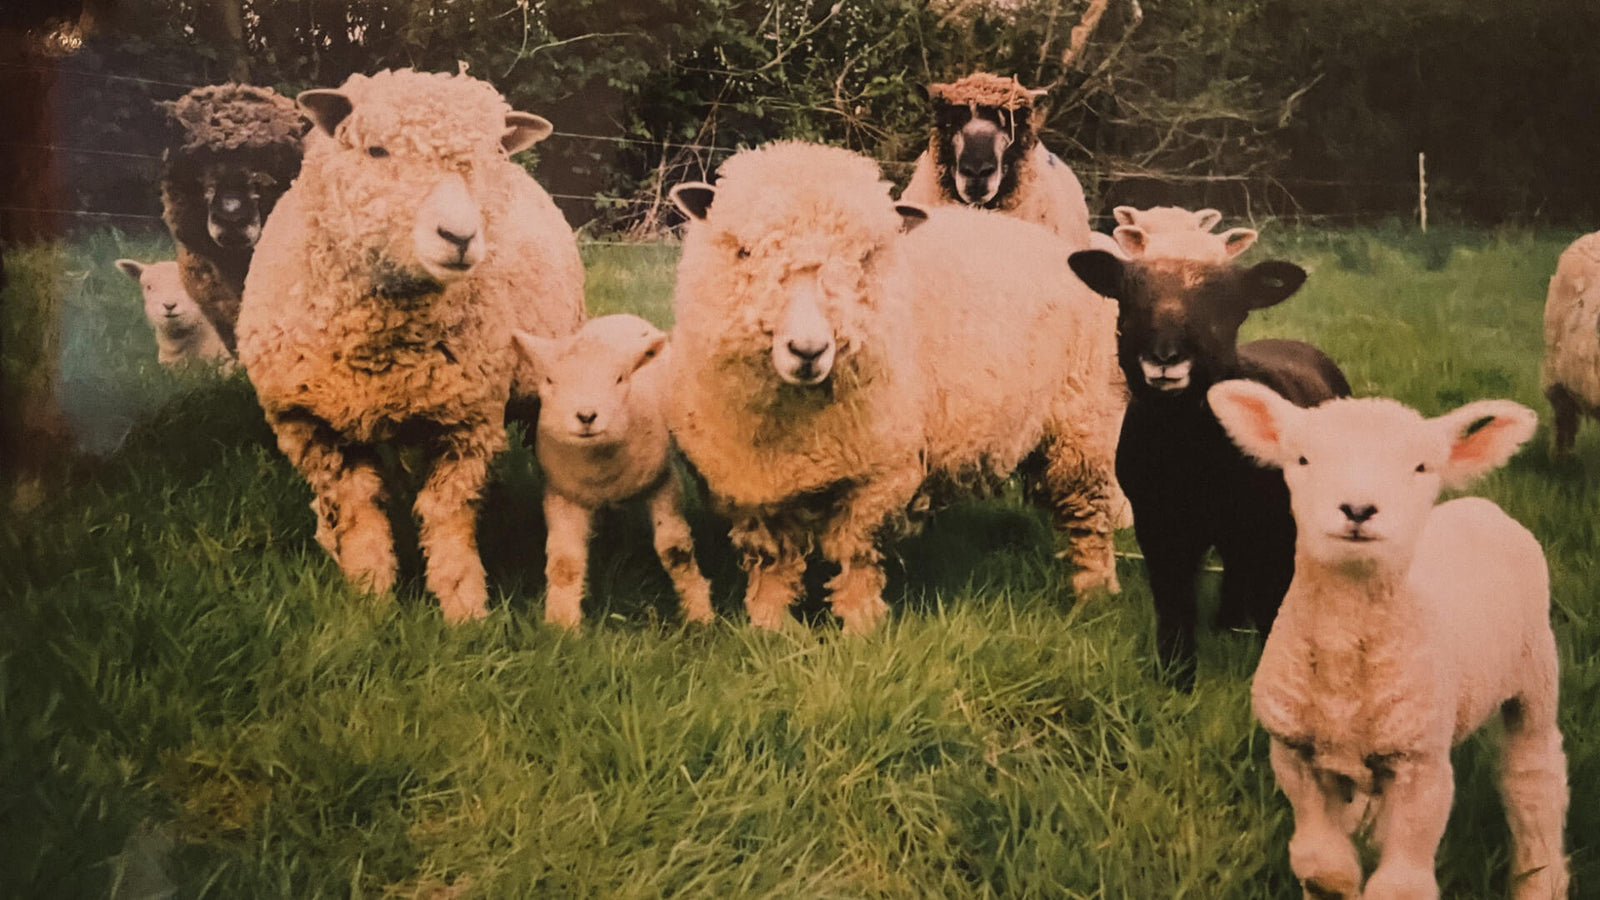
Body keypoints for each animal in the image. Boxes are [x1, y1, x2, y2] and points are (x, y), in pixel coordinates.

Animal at [236, 68, 586, 623]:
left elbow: (447, 517)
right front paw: (368, 595)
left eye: (487, 158)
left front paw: (464, 609)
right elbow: (358, 511)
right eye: (376, 150)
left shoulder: (467, 422)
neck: (382, 353)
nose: (459, 236)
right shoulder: (312, 425)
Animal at [511, 315, 713, 629]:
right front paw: (561, 625)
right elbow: (565, 563)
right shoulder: (563, 494)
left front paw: (700, 616)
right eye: (549, 380)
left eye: (619, 378)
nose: (586, 416)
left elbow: (675, 551)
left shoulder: (662, 482)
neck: (600, 467)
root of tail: (618, 317)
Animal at [668, 141, 1122, 634]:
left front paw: (860, 627)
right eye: (745, 252)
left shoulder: (881, 476)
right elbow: (773, 561)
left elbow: (857, 554)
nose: (808, 350)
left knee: (1090, 513)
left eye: (865, 259)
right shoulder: (749, 484)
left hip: (1083, 423)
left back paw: (1095, 592)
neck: (793, 432)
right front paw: (769, 626)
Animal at [1067, 249, 1350, 688]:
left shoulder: (1270, 529)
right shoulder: (1159, 524)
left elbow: (1272, 601)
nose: (1165, 357)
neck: (1191, 453)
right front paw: (1176, 678)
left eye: (1225, 306)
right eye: (1127, 300)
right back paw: (1226, 624)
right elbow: (1174, 601)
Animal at [1208, 379, 1567, 900]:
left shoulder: (1422, 764)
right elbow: (1321, 866)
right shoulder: (1293, 751)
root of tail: (1482, 507)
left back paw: (1540, 877)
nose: (1358, 509)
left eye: (1420, 466)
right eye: (1302, 459)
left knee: (1534, 778)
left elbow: (1400, 885)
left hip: (1535, 674)